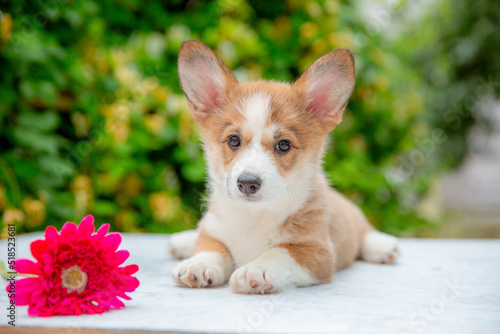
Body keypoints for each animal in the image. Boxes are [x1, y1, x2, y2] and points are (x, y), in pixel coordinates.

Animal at [168, 40, 398, 294]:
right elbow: (211, 247)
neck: (254, 216)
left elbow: (278, 252)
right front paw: (198, 264)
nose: (247, 183)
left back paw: (383, 246)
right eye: (233, 140)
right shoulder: (213, 232)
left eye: (284, 145)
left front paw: (256, 269)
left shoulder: (315, 251)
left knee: (364, 231)